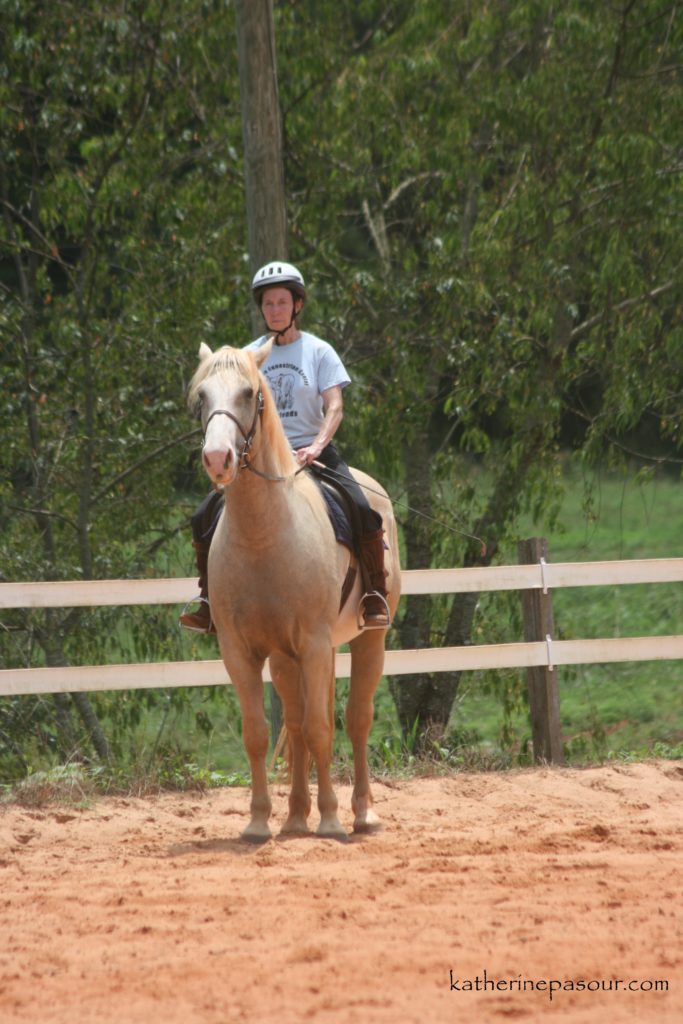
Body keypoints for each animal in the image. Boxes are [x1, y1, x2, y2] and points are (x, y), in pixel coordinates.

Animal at [188, 339, 401, 835]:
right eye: (202, 395)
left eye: (249, 393)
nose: (217, 460)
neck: (264, 535)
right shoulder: (240, 651)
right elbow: (258, 734)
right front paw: (258, 822)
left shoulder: (316, 643)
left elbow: (325, 728)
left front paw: (332, 820)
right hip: (285, 659)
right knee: (299, 723)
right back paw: (296, 818)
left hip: (369, 640)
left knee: (356, 721)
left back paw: (362, 813)